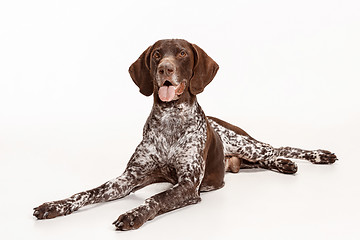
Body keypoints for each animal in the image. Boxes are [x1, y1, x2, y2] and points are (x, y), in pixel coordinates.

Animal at [34, 39, 338, 231]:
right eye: (157, 54)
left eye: (182, 54)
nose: (164, 69)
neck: (170, 121)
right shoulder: (126, 179)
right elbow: (87, 193)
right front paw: (55, 205)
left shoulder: (188, 185)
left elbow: (155, 199)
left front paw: (134, 214)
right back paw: (285, 165)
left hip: (246, 144)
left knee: (277, 147)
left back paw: (315, 155)